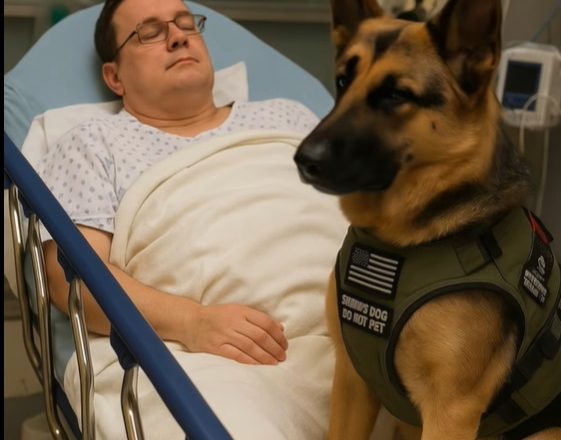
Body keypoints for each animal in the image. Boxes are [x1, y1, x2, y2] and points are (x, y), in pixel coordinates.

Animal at [294, 0, 561, 439]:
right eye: (343, 81)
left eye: (396, 94)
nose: (303, 160)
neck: (400, 245)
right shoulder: (351, 382)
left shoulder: (450, 413)